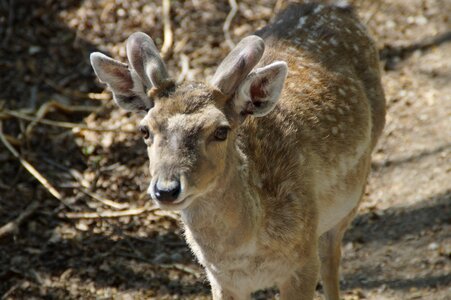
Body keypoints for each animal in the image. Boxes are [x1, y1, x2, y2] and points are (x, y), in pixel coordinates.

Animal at [91, 2, 384, 300]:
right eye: (145, 130)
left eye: (221, 130)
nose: (166, 189)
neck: (244, 255)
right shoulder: (221, 279)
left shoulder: (302, 263)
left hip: (356, 186)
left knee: (331, 253)